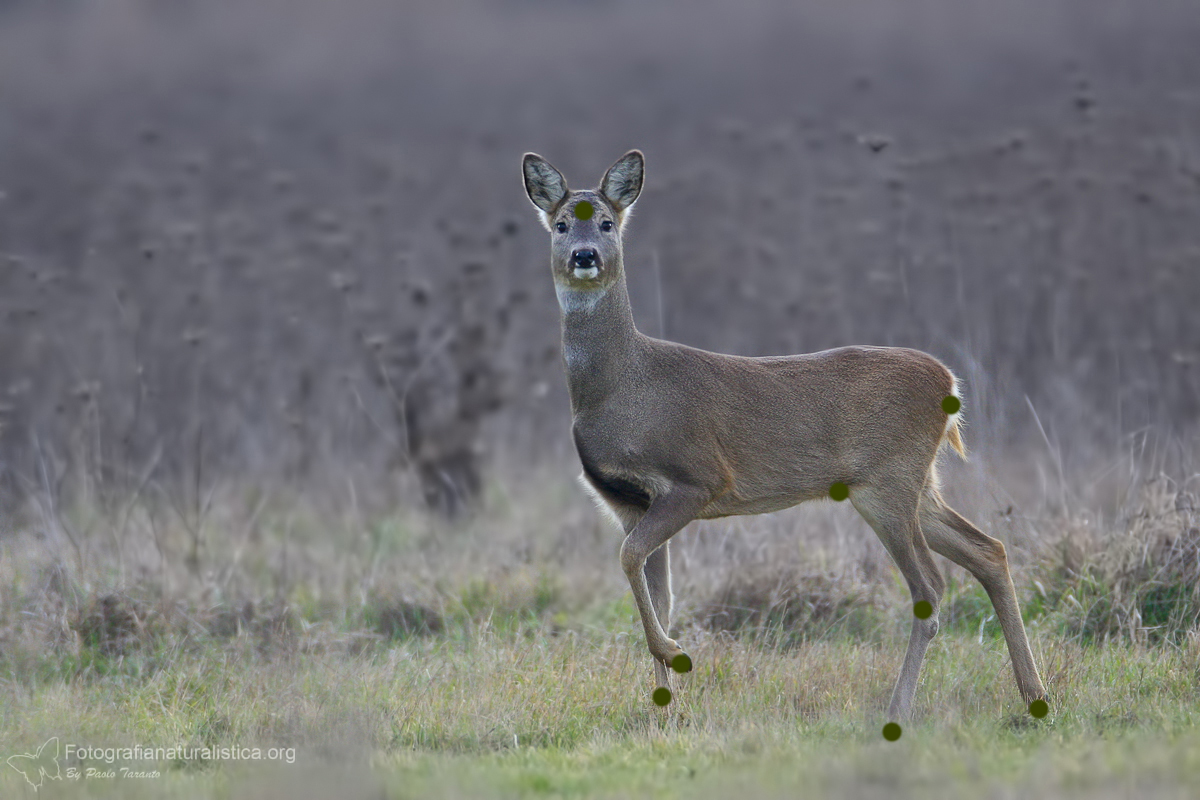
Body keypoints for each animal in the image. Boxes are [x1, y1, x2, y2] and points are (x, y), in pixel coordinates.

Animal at [520, 148, 1046, 724]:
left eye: (608, 223)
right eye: (561, 223)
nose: (585, 255)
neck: (619, 387)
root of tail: (950, 382)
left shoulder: (698, 478)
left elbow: (630, 560)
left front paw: (675, 657)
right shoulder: (627, 503)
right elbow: (656, 593)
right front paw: (665, 708)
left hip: (887, 482)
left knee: (930, 587)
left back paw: (899, 709)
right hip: (918, 484)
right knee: (989, 550)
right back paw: (1034, 694)